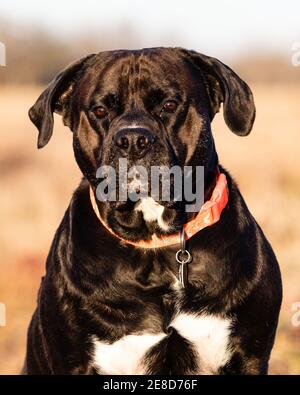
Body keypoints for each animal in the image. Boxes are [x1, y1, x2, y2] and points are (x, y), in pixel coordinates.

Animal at [22, 48, 282, 376]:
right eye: (100, 111)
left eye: (169, 105)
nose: (133, 140)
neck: (156, 243)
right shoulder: (74, 362)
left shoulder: (248, 355)